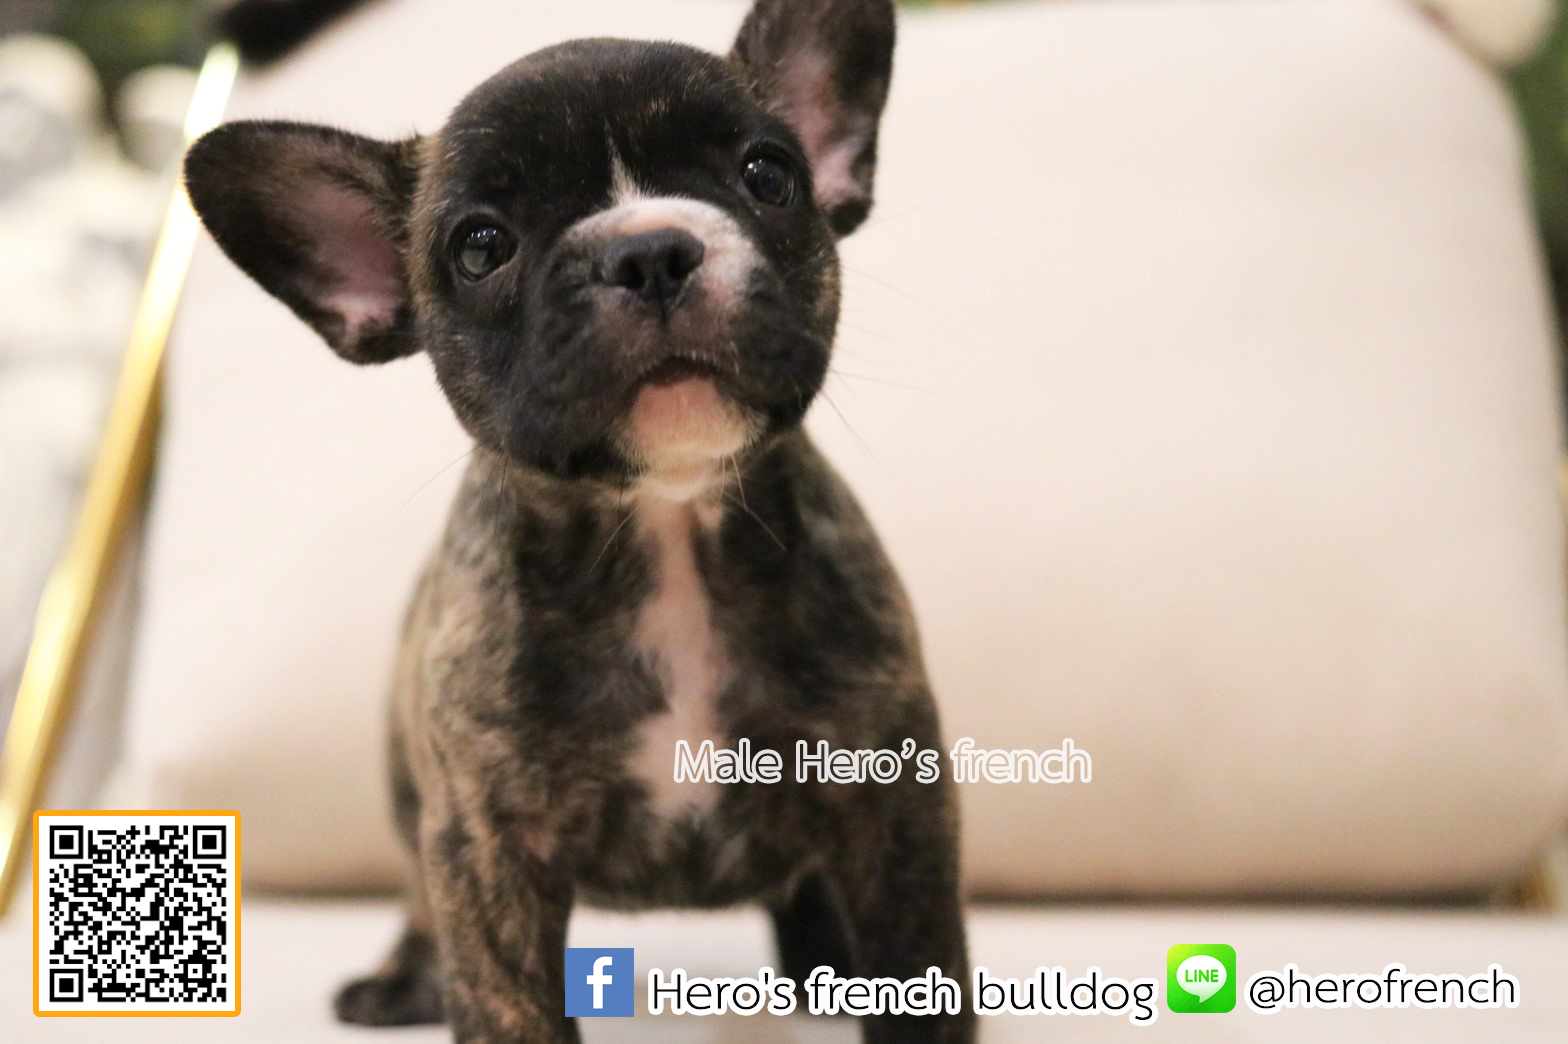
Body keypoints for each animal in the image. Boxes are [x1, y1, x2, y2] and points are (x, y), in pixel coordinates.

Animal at [184, 1, 972, 1040]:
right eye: (480, 246)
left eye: (769, 176)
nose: (647, 252)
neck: (665, 523)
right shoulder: (488, 842)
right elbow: (508, 1000)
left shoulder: (892, 805)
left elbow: (922, 973)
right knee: (414, 895)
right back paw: (402, 978)